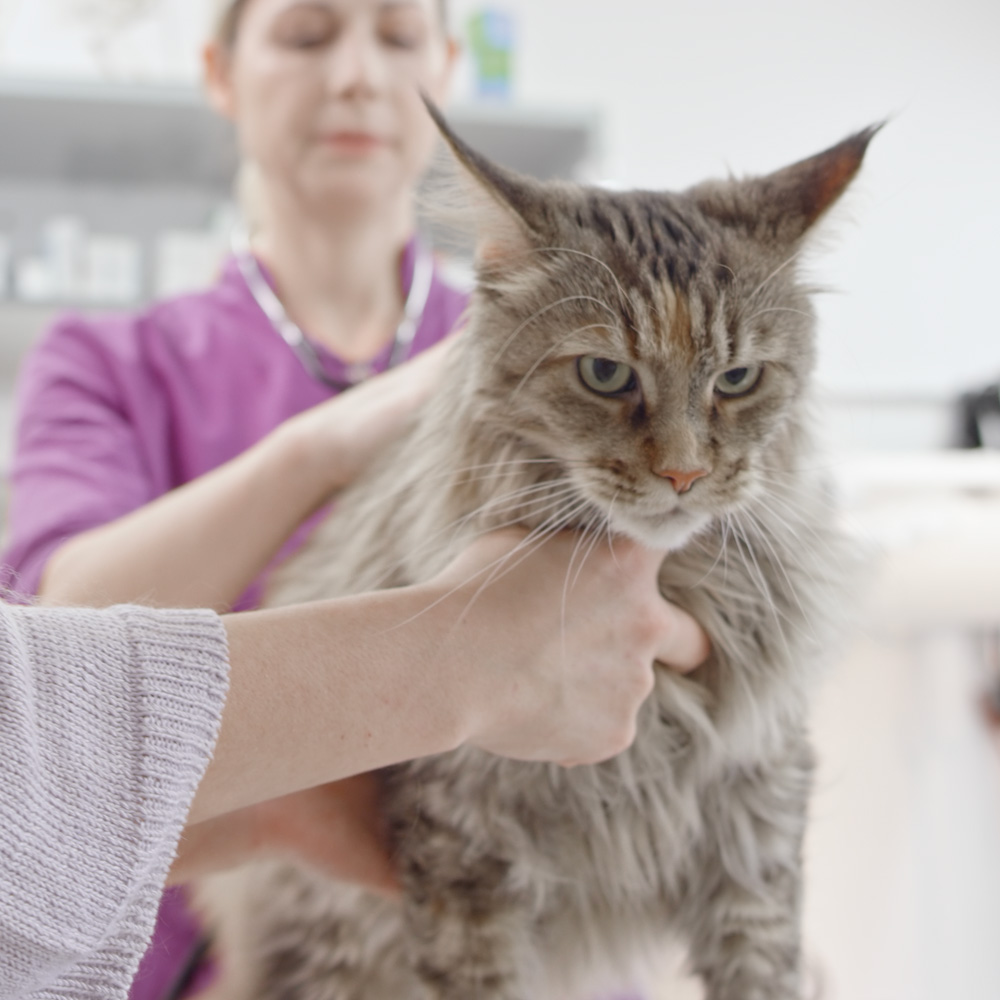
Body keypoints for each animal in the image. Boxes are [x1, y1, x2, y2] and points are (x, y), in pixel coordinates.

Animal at [197, 103, 876, 1000]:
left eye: (736, 381)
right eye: (604, 374)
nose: (685, 474)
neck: (674, 584)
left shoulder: (757, 810)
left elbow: (764, 968)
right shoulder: (464, 843)